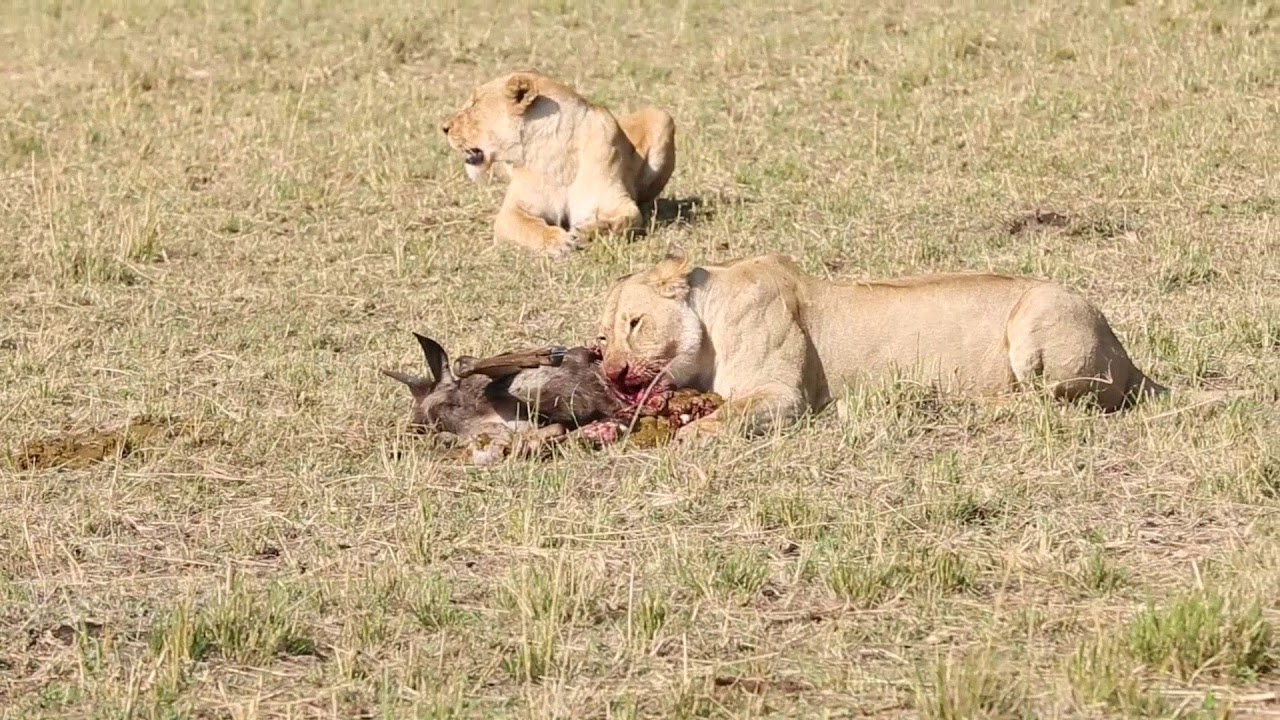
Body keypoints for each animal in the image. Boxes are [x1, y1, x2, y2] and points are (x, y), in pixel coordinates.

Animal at [442, 69, 675, 257]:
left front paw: (588, 232)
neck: (557, 149)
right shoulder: (512, 212)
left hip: (662, 116)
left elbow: (628, 219)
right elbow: (531, 227)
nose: (444, 128)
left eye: (474, 104)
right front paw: (558, 241)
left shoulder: (616, 201)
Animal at [593, 249, 1172, 438]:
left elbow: (730, 416)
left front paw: (692, 434)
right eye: (602, 338)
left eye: (634, 323)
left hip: (1040, 315)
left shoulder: (785, 396)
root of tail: (1128, 358)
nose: (611, 374)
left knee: (1054, 405)